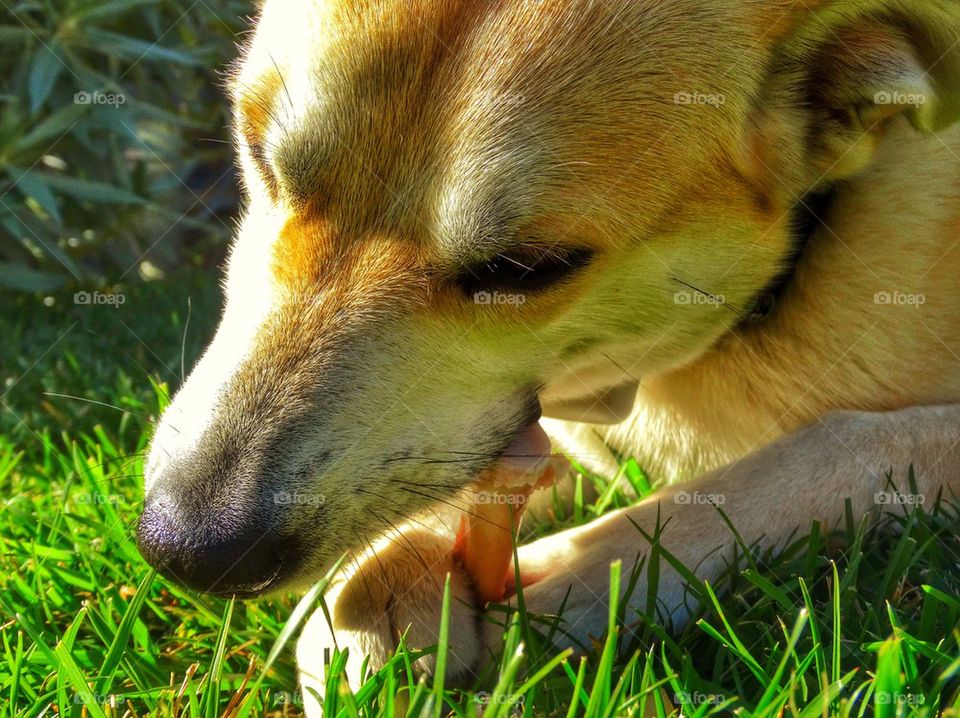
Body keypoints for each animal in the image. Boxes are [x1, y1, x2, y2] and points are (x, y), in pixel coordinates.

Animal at [139, 0, 960, 716]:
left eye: (526, 269)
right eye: (258, 156)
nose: (185, 547)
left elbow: (829, 449)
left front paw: (564, 584)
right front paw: (378, 596)